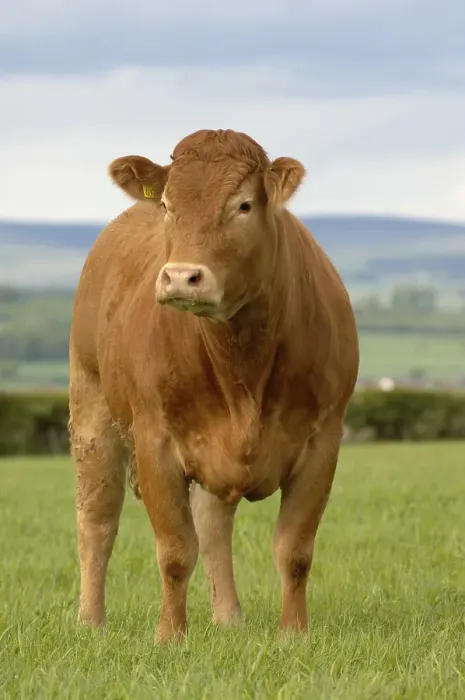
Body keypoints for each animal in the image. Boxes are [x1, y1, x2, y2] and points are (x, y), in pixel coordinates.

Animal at [69, 128, 359, 644]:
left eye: (243, 205)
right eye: (167, 204)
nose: (182, 276)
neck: (242, 366)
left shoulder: (323, 441)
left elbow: (294, 550)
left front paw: (293, 633)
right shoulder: (155, 441)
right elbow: (175, 550)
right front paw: (170, 637)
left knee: (213, 525)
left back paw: (229, 617)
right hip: (91, 407)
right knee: (97, 520)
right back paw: (91, 623)